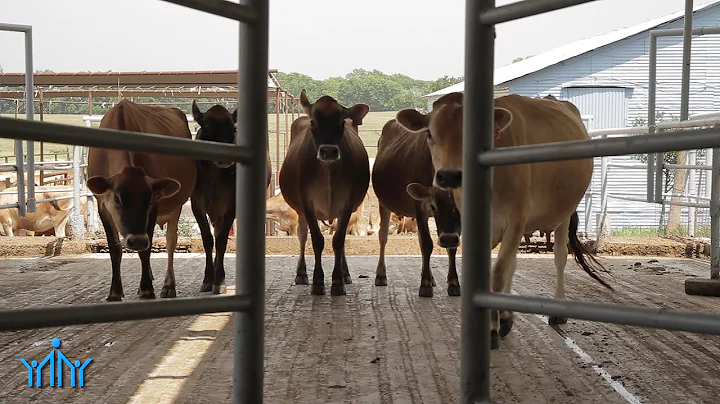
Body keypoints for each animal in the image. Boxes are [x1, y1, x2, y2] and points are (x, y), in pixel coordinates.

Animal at [86, 99, 197, 302]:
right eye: (117, 199)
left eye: (151, 198)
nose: (136, 241)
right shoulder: (102, 206)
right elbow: (115, 248)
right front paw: (115, 291)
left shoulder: (155, 208)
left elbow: (148, 248)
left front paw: (146, 289)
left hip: (176, 205)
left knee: (171, 240)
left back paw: (168, 285)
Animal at [280, 90, 372, 296]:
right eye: (314, 122)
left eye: (342, 123)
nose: (328, 151)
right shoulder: (307, 203)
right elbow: (316, 240)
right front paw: (317, 281)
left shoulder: (347, 203)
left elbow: (338, 240)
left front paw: (337, 281)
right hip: (300, 211)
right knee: (302, 235)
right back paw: (301, 274)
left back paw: (346, 274)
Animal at [372, 117, 462, 296]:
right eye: (434, 206)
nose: (448, 238)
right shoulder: (420, 205)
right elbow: (427, 244)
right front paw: (425, 284)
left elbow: (451, 248)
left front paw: (453, 282)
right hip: (383, 203)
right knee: (383, 236)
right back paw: (381, 275)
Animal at [396, 93, 612, 348]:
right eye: (429, 133)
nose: (449, 175)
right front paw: (500, 320)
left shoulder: (516, 219)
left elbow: (498, 272)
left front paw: (491, 330)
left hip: (564, 214)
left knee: (559, 256)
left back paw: (558, 308)